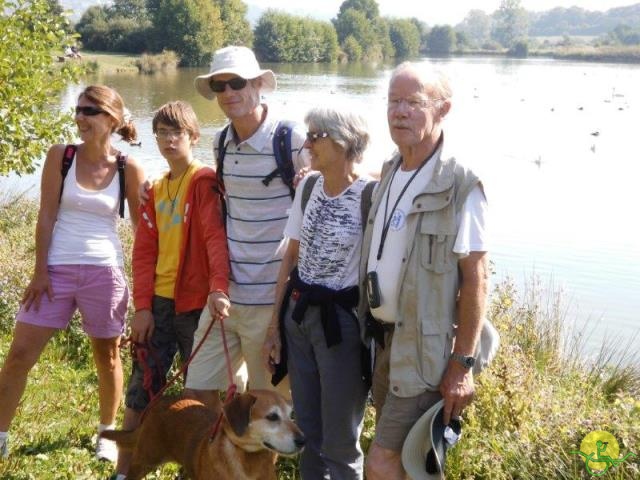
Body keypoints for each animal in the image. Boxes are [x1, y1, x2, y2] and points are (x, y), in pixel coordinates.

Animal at [102, 390, 304, 480]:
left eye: (291, 415)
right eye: (272, 416)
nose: (303, 440)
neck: (246, 459)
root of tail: (159, 403)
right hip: (143, 461)